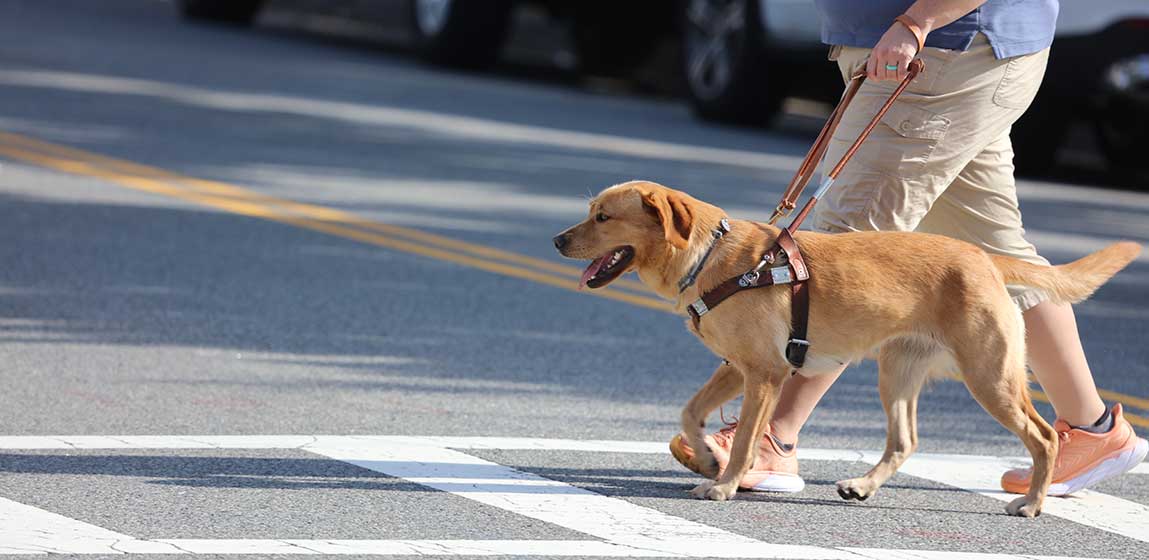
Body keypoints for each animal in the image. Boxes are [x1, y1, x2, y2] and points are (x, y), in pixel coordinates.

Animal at [553, 181, 1139, 519]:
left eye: (603, 218)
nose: (556, 240)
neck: (712, 257)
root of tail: (986, 259)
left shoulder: (764, 374)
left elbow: (744, 441)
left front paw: (725, 483)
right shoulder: (738, 368)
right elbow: (690, 412)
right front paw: (705, 456)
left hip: (989, 376)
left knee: (1043, 437)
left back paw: (1034, 502)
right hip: (897, 373)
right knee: (905, 441)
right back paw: (862, 486)